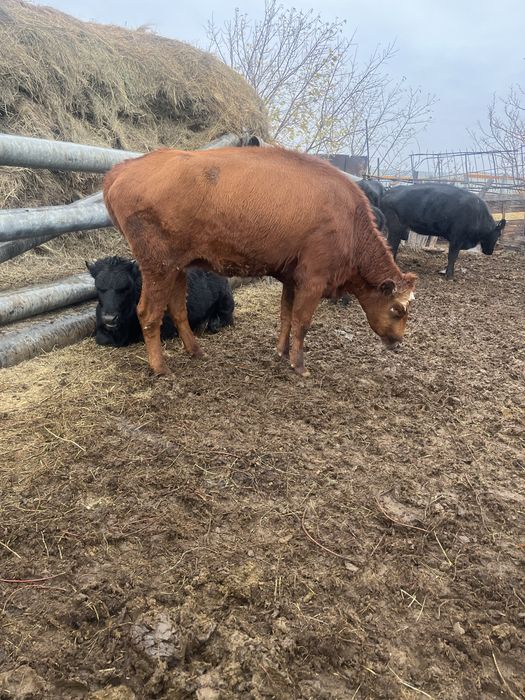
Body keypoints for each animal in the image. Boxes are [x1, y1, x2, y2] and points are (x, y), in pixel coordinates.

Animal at [103, 146, 417, 377]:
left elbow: (286, 316)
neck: (348, 220)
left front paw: (281, 352)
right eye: (398, 310)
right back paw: (161, 368)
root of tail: (123, 168)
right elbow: (302, 322)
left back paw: (195, 351)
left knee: (178, 309)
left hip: (177, 267)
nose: (398, 341)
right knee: (148, 313)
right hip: (157, 267)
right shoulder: (313, 280)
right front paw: (299, 365)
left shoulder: (292, 278)